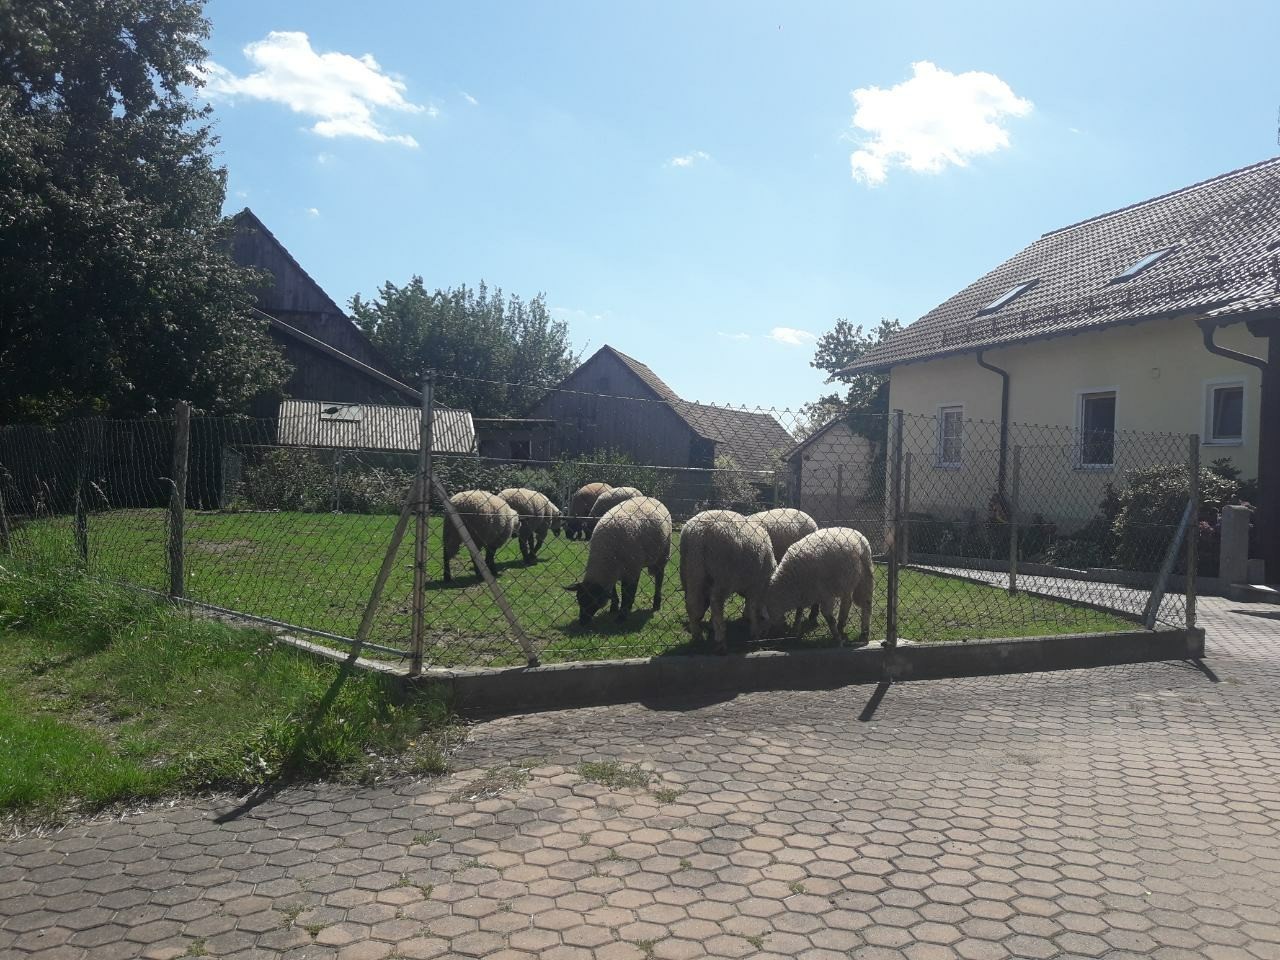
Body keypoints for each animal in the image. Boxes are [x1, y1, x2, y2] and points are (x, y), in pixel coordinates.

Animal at [565, 496, 675, 624]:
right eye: (579, 599)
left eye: (594, 601)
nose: (583, 622)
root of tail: (650, 497)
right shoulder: (614, 572)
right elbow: (614, 592)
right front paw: (614, 607)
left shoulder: (631, 570)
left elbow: (627, 594)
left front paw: (622, 615)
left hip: (662, 555)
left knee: (659, 579)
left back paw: (656, 604)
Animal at [675, 512, 773, 655]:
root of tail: (699, 532)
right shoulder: (757, 584)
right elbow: (753, 607)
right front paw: (755, 631)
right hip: (723, 574)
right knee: (716, 602)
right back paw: (720, 640)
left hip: (692, 570)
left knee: (692, 603)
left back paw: (697, 636)